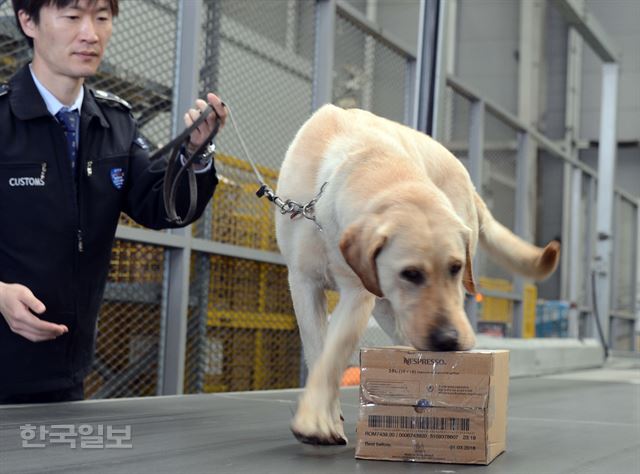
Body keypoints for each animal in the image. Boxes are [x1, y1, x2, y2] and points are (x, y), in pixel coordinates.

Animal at [276, 103, 560, 444]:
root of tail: (469, 182)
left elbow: (333, 354)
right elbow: (320, 352)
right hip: (387, 307)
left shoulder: (358, 294)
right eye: (410, 273)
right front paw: (322, 415)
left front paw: (317, 416)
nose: (448, 340)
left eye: (455, 268)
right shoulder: (304, 282)